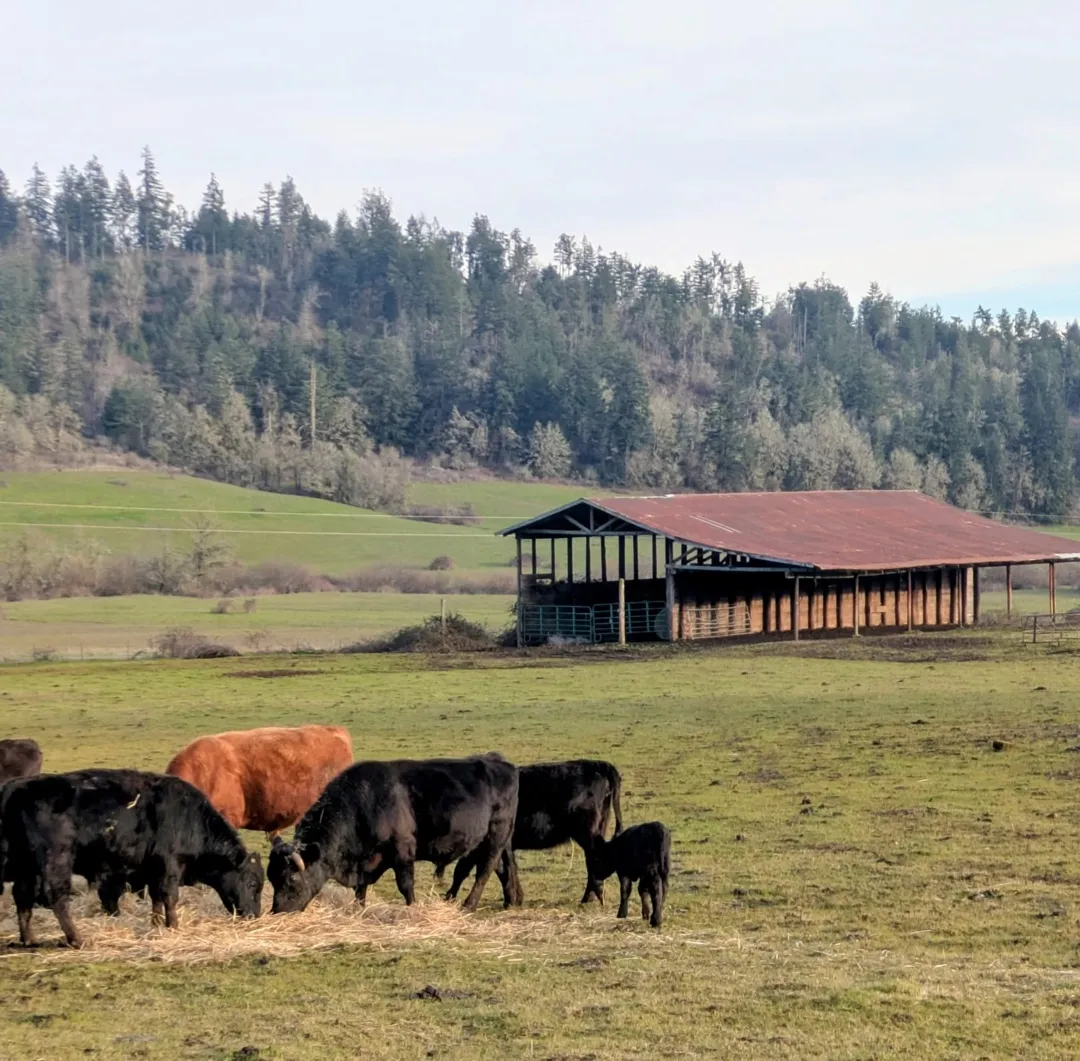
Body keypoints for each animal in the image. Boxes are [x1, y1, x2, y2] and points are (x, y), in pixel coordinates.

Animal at [0, 769, 264, 947]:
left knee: (22, 896)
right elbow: (170, 897)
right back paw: (77, 938)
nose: (254, 915)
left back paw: (29, 939)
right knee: (56, 897)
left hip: (26, 867)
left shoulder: (153, 871)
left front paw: (157, 924)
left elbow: (156, 899)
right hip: (56, 860)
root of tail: (17, 787)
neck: (191, 818)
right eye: (252, 883)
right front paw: (173, 926)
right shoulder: (170, 866)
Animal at [268, 753, 520, 915]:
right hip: (486, 842)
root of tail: (502, 765)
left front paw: (412, 909)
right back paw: (505, 900)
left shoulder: (402, 851)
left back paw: (468, 905)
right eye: (272, 878)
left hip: (495, 837)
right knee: (500, 868)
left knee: (484, 871)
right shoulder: (366, 862)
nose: (277, 911)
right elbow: (361, 888)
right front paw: (359, 909)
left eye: (291, 879)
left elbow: (405, 885)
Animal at [444, 759, 623, 907]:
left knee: (594, 860)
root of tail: (597, 764)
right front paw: (514, 899)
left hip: (586, 832)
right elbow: (500, 869)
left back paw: (589, 898)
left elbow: (478, 869)